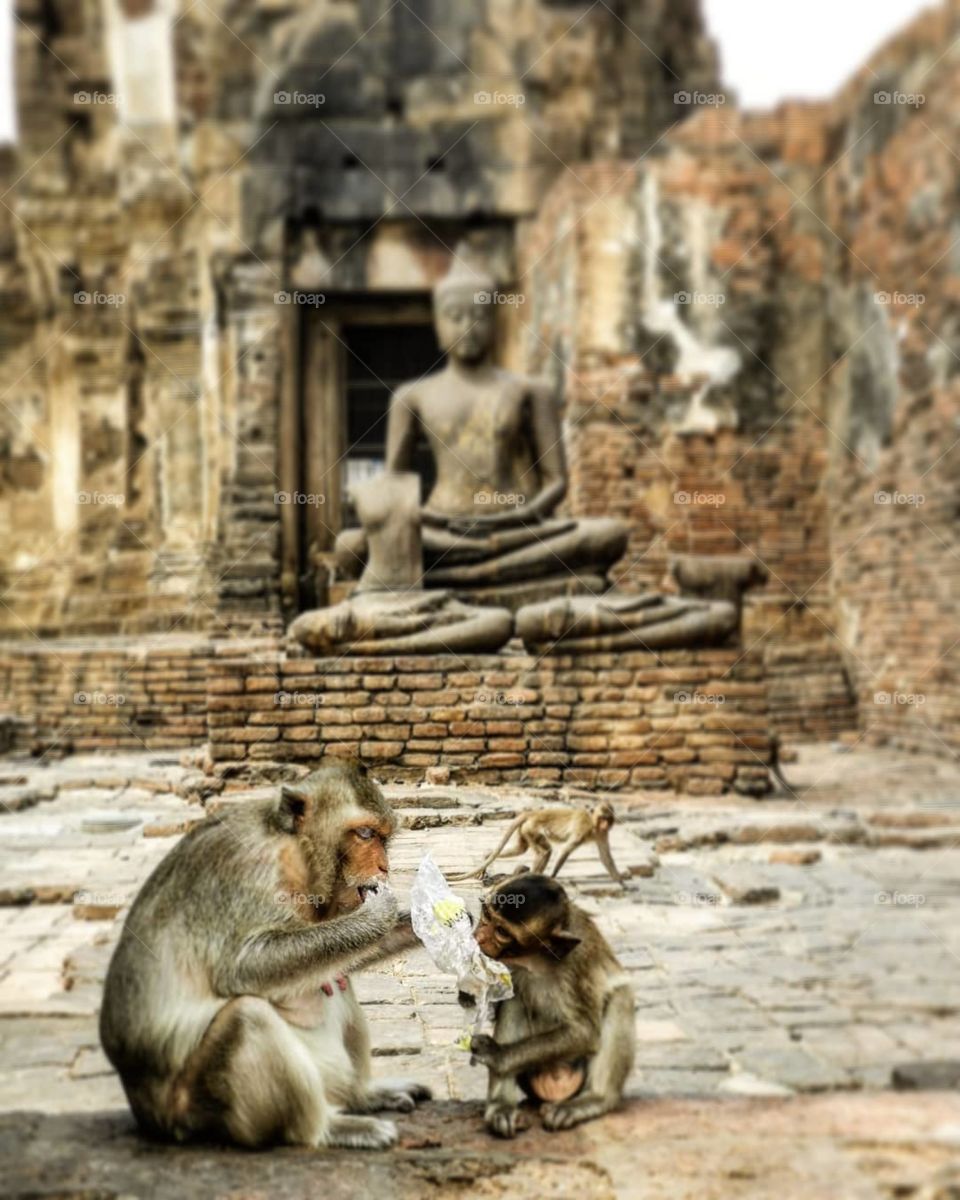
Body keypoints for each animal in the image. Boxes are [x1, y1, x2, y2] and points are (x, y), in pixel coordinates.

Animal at [99, 759, 430, 1151]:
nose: (384, 868)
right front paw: (376, 916)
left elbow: (335, 961)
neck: (294, 854)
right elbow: (243, 967)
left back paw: (362, 1096)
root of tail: (150, 1116)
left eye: (383, 837)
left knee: (335, 978)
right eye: (364, 834)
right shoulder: (245, 868)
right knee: (247, 1016)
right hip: (198, 1110)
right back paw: (326, 1129)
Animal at [448, 803, 628, 886]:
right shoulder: (582, 829)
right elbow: (566, 849)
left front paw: (621, 882)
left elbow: (605, 856)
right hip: (532, 829)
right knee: (545, 852)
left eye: (608, 818)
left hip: (525, 831)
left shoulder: (602, 834)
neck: (593, 824)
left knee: (521, 849)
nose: (605, 824)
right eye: (602, 817)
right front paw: (553, 876)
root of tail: (532, 813)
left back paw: (487, 855)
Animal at [468, 873, 635, 1136]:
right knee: (516, 1000)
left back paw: (595, 1100)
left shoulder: (576, 963)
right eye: (486, 913)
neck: (535, 959)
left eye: (502, 931)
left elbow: (584, 1032)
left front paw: (497, 1054)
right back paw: (501, 1106)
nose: (478, 937)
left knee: (620, 997)